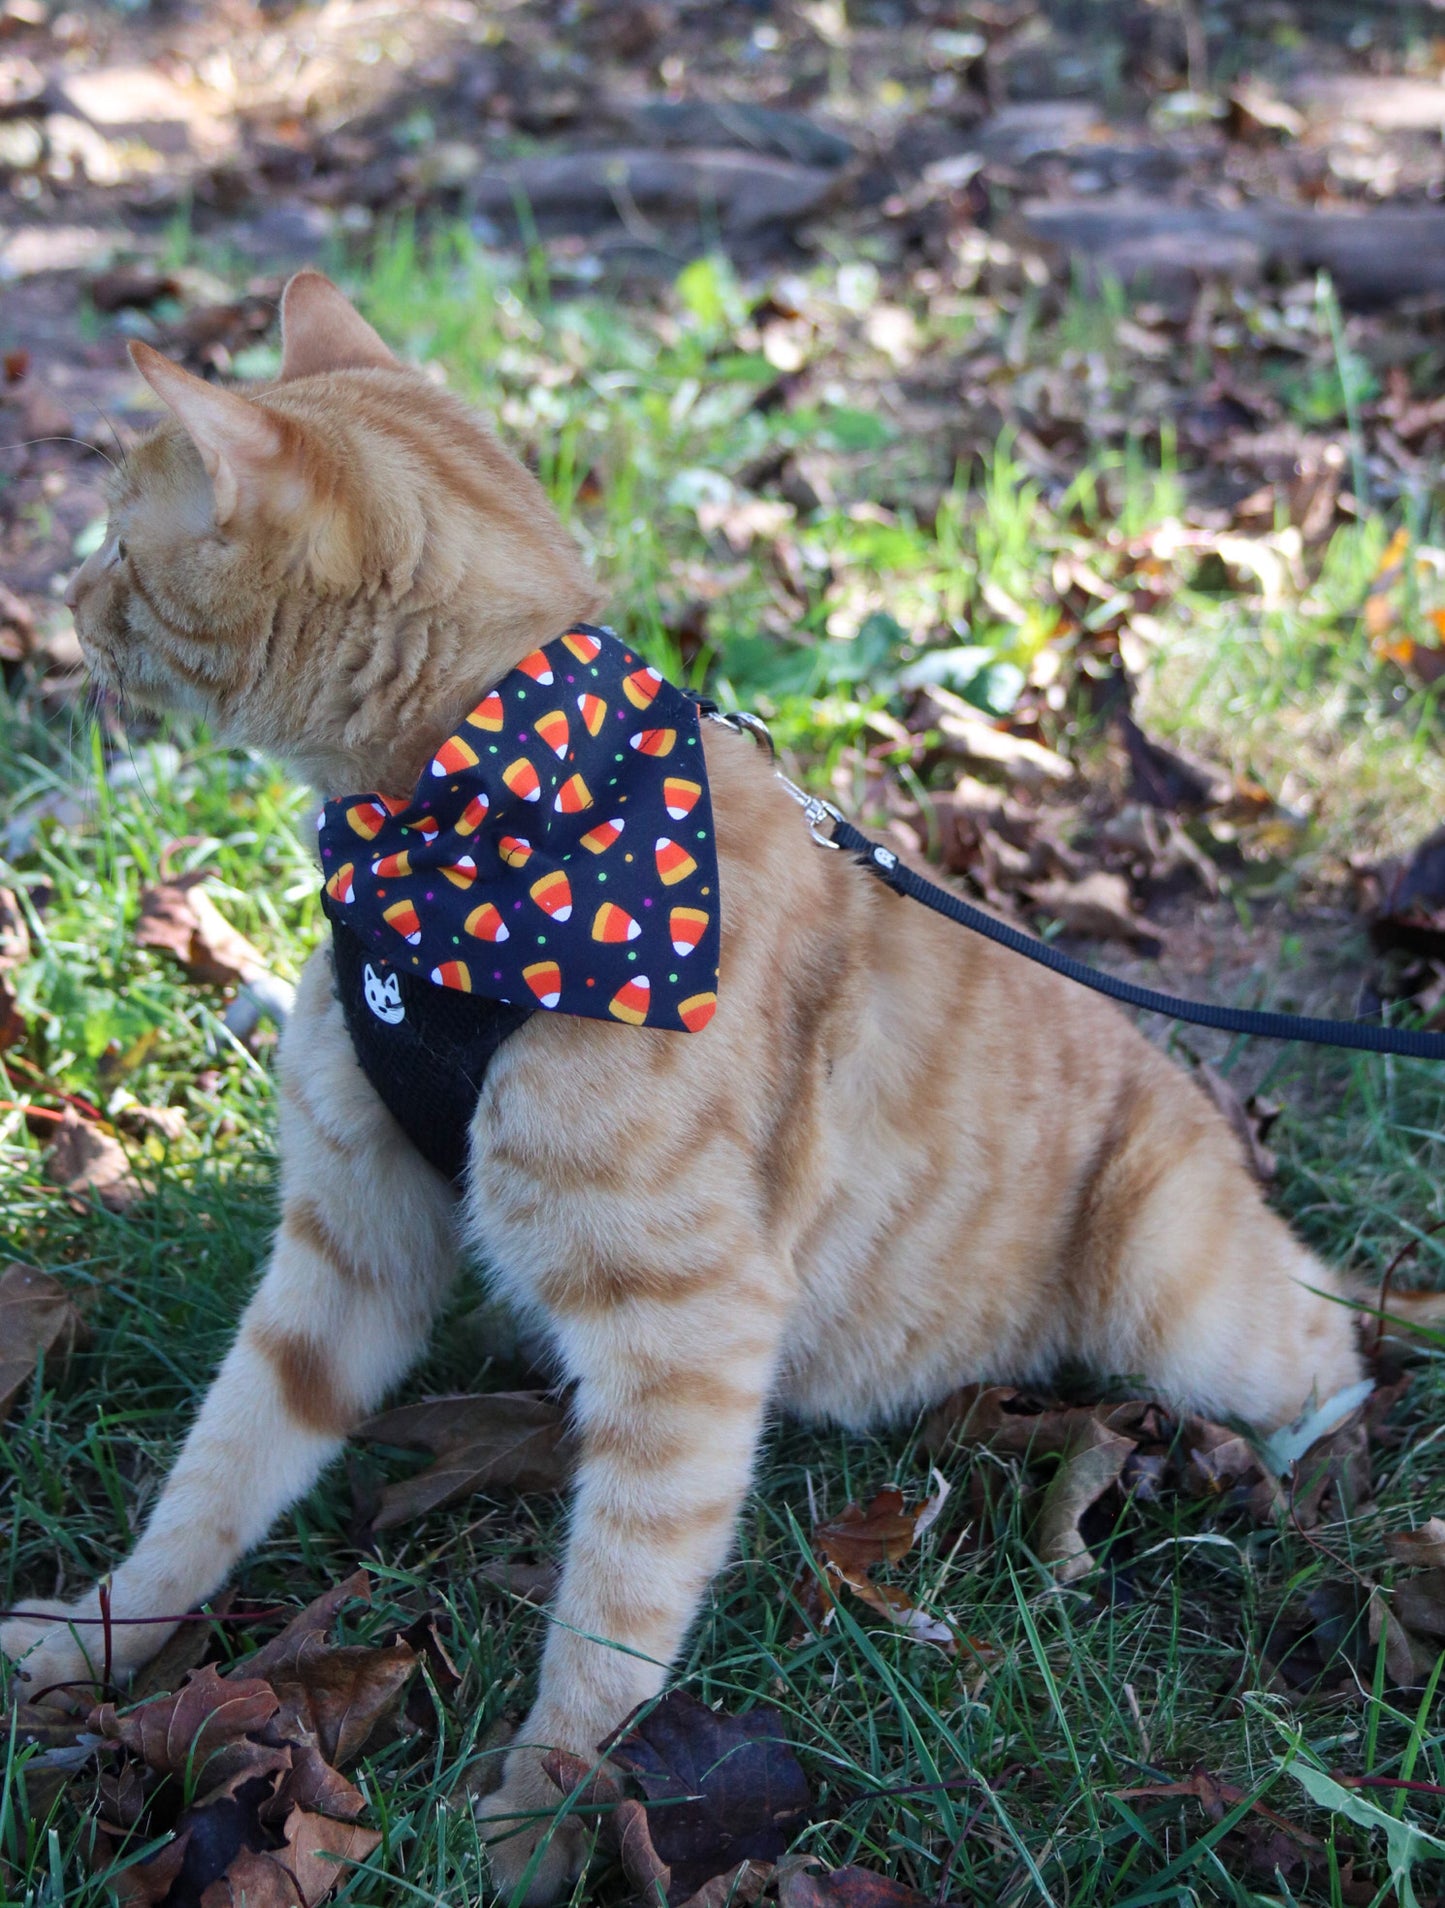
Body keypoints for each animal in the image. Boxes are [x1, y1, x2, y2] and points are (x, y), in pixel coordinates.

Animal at [0, 276, 1404, 1900]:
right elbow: (215, 1476)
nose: (60, 611)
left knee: (1333, 1336)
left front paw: (533, 1824)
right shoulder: (349, 1243)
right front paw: (98, 1641)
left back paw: (1297, 1472)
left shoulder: (688, 1332)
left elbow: (613, 1617)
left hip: (1171, 1299)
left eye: (117, 544)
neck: (470, 849)